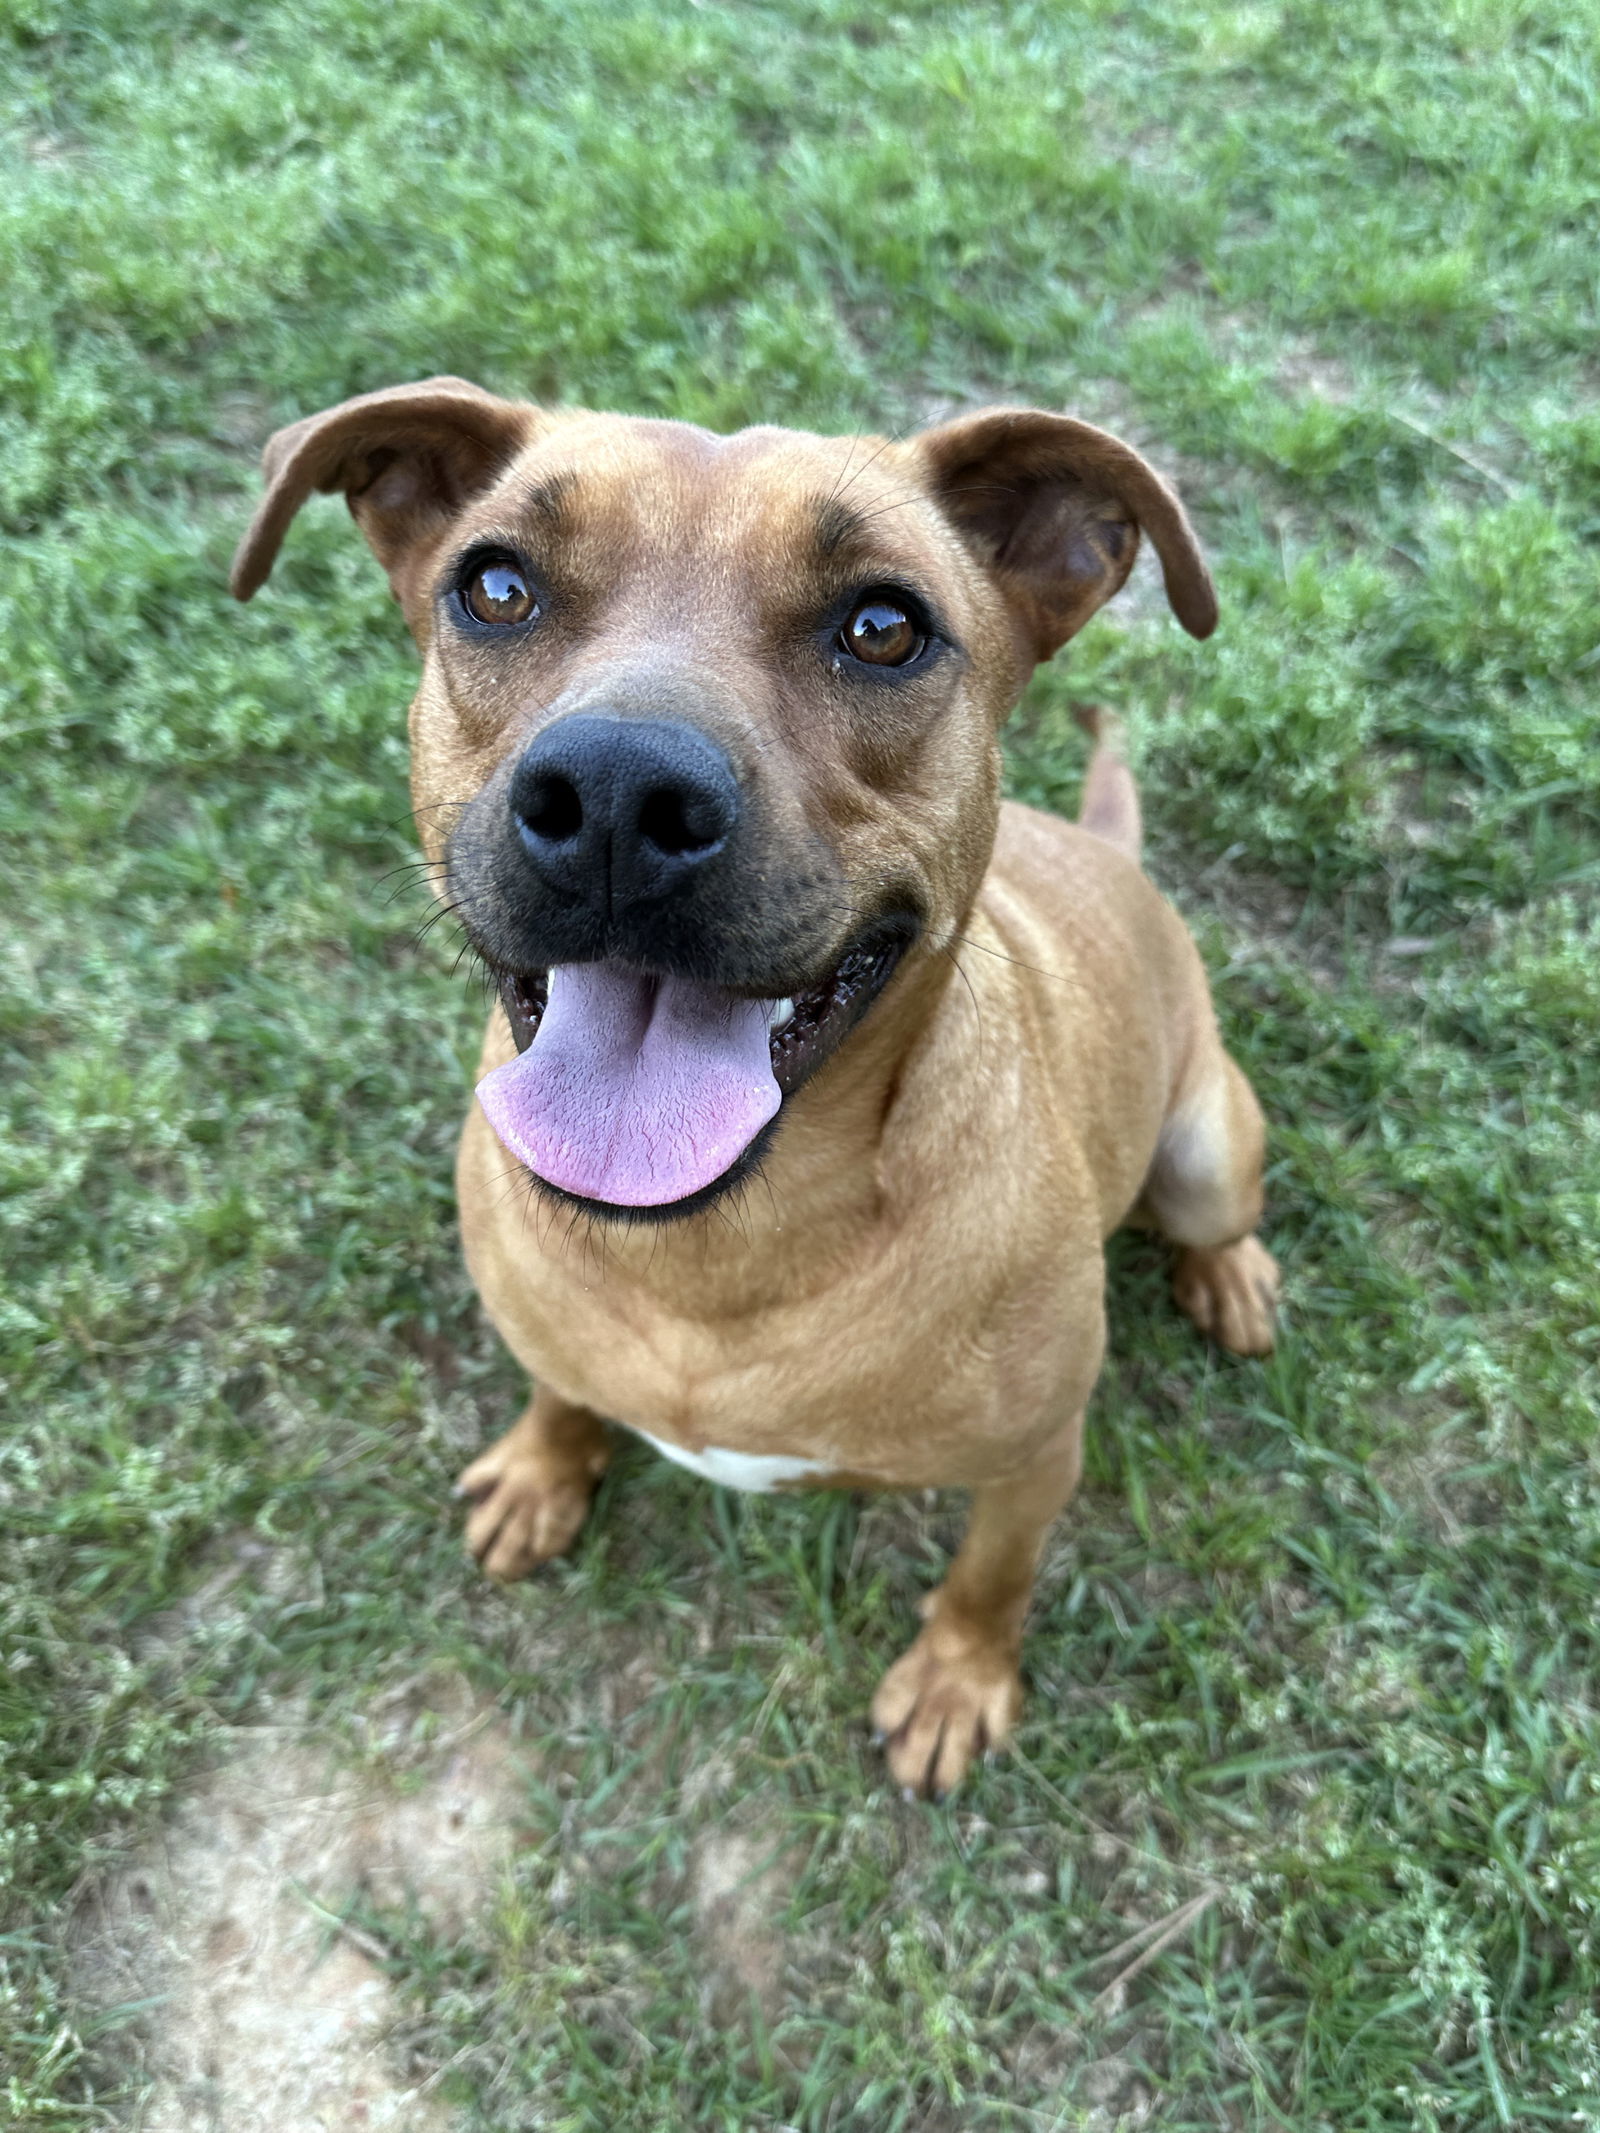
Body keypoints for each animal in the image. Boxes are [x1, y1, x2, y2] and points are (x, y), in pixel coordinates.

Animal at [237, 383, 1288, 1800]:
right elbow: (559, 1386)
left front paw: (957, 1682)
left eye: (884, 627)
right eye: (496, 587)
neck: (711, 1247)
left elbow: (989, 1581)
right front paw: (543, 1468)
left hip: (1205, 1149)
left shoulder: (1033, 1462)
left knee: (1216, 1216)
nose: (616, 794)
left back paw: (1229, 1277)